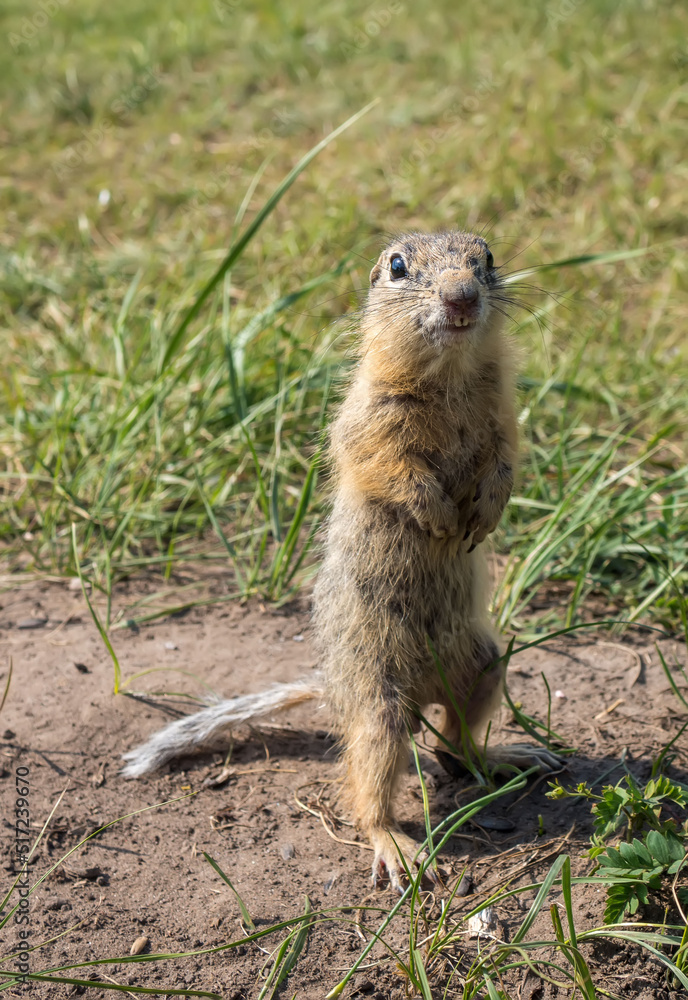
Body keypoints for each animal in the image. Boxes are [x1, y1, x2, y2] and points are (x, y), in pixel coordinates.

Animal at [123, 232, 560, 892]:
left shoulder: (505, 415)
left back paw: (509, 756)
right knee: (369, 792)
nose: (461, 296)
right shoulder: (369, 419)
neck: (451, 375)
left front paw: (484, 512)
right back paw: (398, 850)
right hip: (380, 707)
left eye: (486, 259)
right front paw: (436, 516)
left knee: (453, 749)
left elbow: (505, 460)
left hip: (485, 663)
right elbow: (390, 467)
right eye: (398, 267)